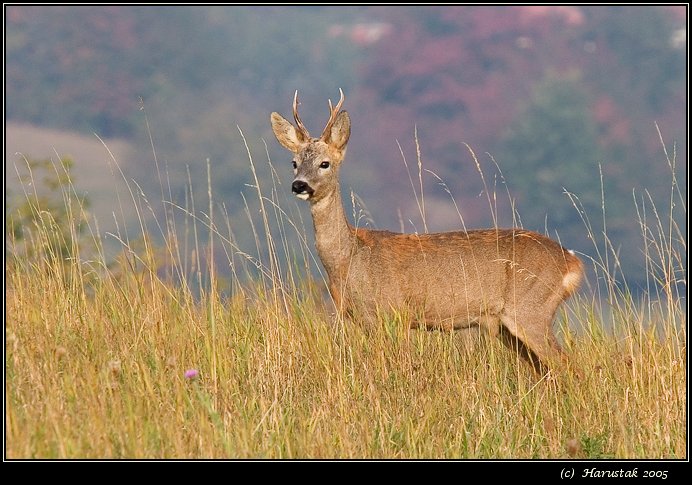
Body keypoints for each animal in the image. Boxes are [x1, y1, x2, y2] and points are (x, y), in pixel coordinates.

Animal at [270, 89, 584, 373]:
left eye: (325, 163)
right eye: (294, 163)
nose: (299, 185)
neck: (350, 258)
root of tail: (571, 261)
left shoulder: (393, 312)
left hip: (531, 309)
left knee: (570, 366)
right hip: (511, 326)